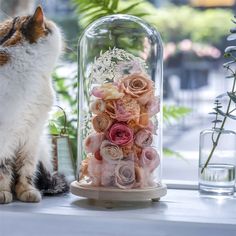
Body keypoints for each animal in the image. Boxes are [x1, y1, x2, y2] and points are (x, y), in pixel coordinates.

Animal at [0, 6, 68, 204]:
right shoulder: (6, 133)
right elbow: (3, 165)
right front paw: (2, 192)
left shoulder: (33, 133)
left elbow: (27, 166)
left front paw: (26, 190)